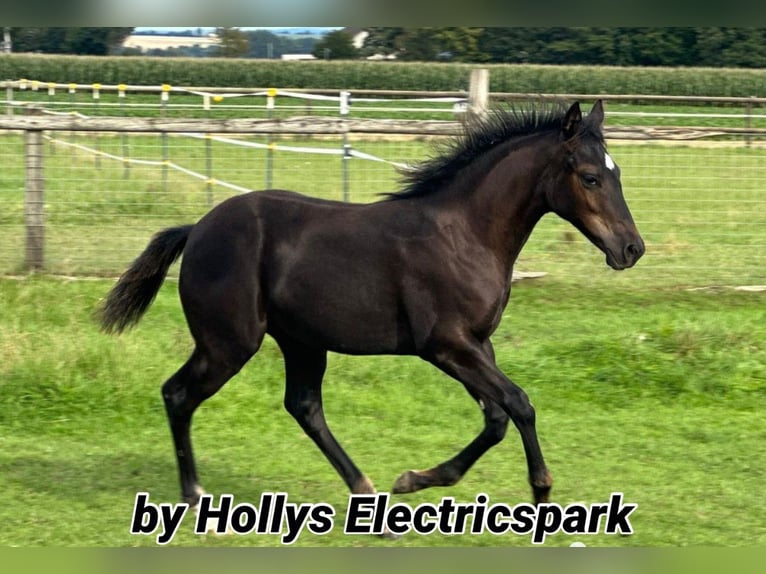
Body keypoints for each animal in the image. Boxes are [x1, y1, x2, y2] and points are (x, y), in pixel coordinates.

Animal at [99, 100, 644, 511]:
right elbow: (519, 403)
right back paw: (194, 495)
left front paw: (412, 479)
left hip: (301, 341)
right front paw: (541, 491)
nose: (631, 249)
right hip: (229, 342)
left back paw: (364, 489)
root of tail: (196, 229)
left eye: (617, 172)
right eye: (591, 177)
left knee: (303, 406)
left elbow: (496, 417)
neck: (465, 235)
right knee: (178, 394)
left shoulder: (477, 345)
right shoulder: (446, 345)